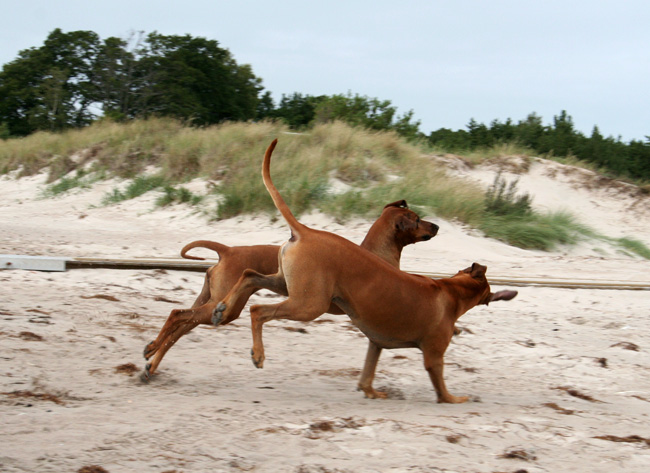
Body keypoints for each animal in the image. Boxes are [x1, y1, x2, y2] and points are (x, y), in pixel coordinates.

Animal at [141, 197, 436, 378]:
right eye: (417, 218)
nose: (436, 225)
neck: (377, 251)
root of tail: (227, 250)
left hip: (214, 304)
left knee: (179, 325)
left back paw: (152, 358)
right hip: (228, 307)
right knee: (177, 315)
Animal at [215, 140, 520, 402]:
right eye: (417, 220)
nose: (436, 226)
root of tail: (306, 230)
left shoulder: (376, 339)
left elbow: (369, 369)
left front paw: (371, 391)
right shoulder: (430, 352)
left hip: (290, 285)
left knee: (249, 276)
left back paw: (224, 309)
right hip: (310, 303)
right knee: (258, 310)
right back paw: (256, 351)